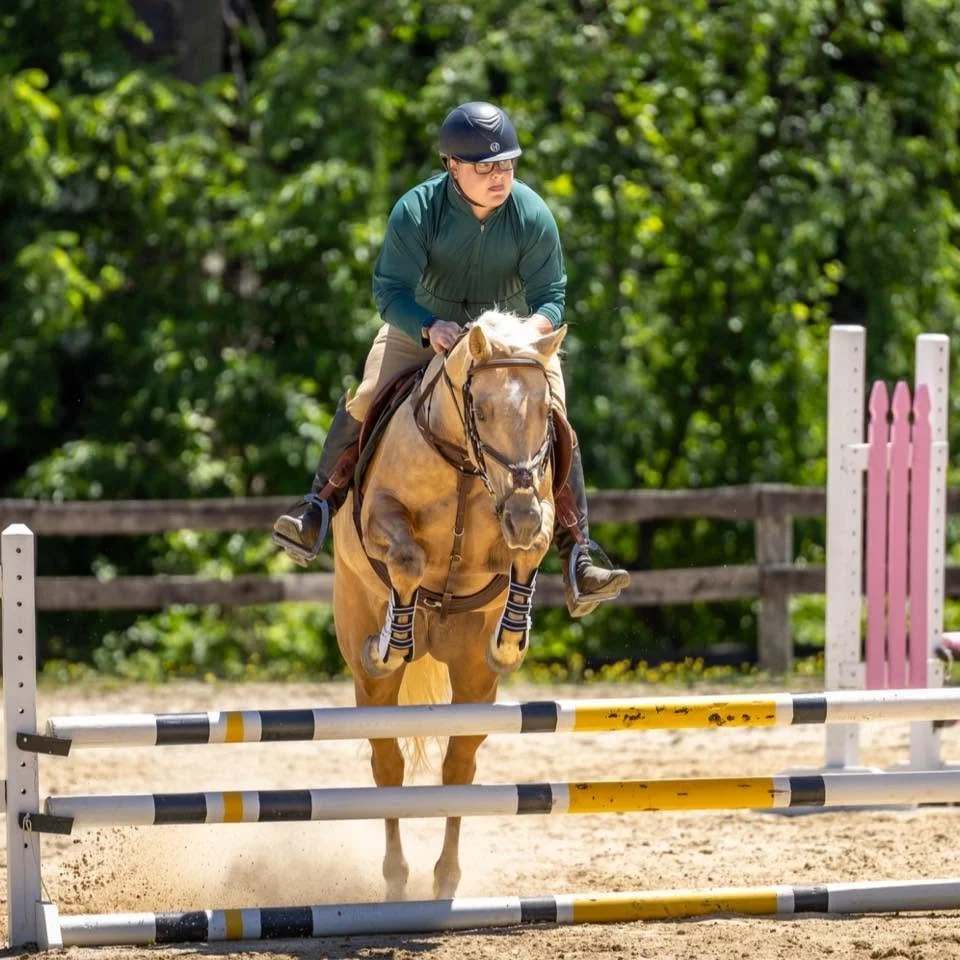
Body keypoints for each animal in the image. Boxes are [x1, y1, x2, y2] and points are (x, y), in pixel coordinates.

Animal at [331, 309, 567, 900]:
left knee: (459, 768)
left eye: (545, 413)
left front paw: (511, 639)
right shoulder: (382, 517)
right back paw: (397, 880)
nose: (520, 513)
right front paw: (391, 640)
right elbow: (408, 560)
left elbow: (531, 548)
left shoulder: (531, 514)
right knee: (387, 765)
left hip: (472, 681)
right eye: (480, 410)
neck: (463, 462)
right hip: (368, 681)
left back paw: (445, 880)